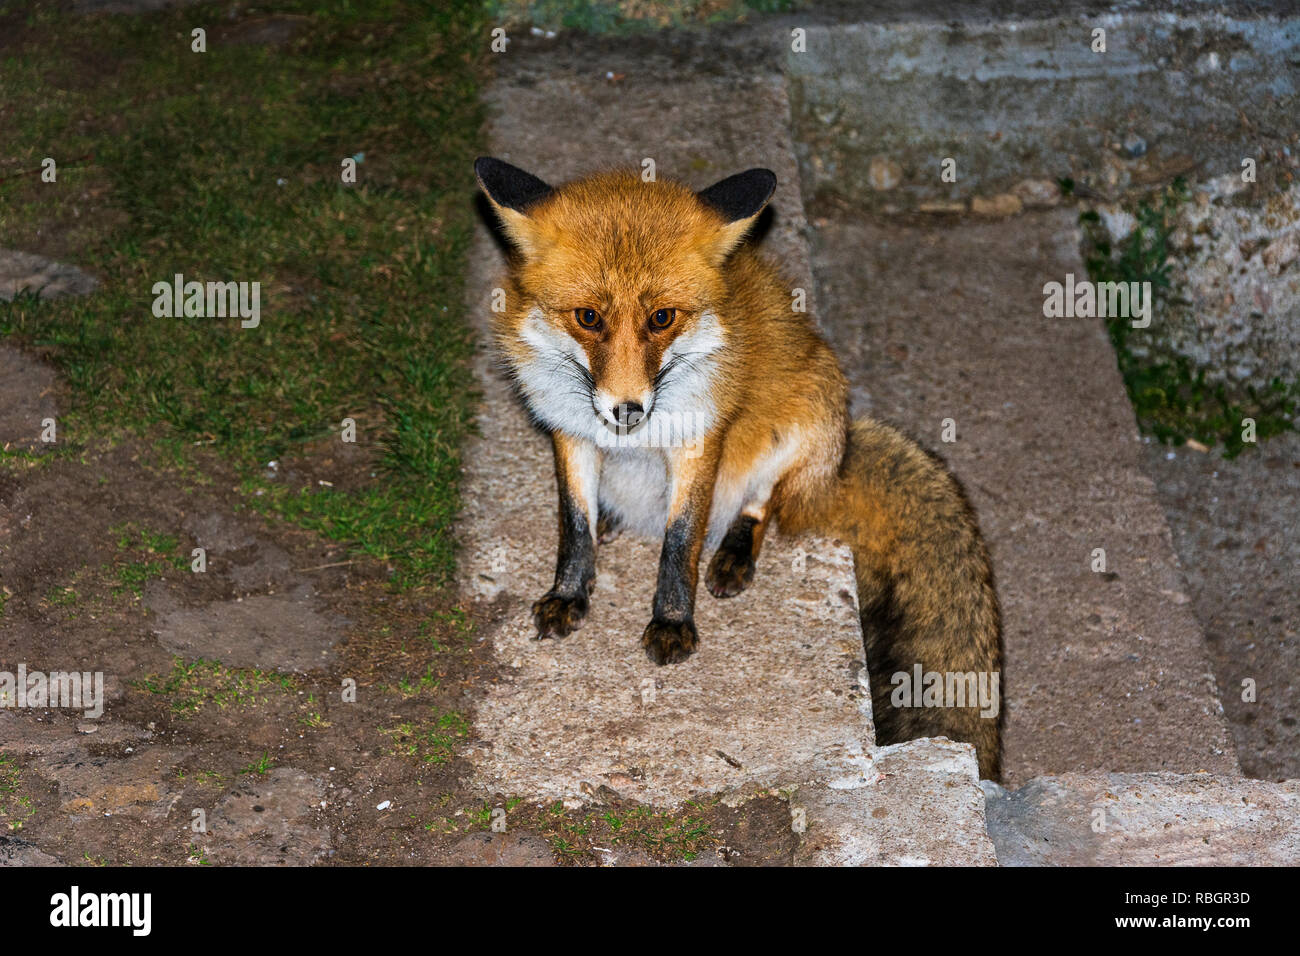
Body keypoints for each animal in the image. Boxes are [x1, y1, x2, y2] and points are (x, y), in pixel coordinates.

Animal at [478, 157, 1003, 780]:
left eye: (662, 318)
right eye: (587, 317)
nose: (628, 409)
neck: (633, 441)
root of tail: (839, 459)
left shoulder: (699, 441)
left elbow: (680, 543)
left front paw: (673, 622)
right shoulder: (571, 434)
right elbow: (572, 526)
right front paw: (570, 593)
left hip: (800, 426)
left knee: (761, 505)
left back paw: (732, 554)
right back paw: (615, 516)